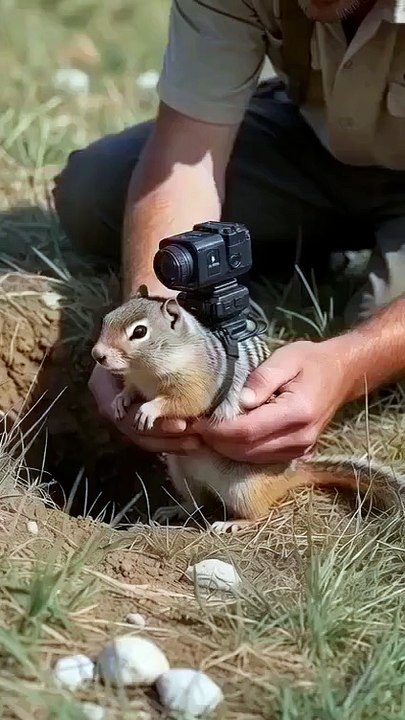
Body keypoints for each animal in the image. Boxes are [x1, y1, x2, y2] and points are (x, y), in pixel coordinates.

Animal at [91, 284, 405, 533]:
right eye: (107, 318)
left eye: (139, 332)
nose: (97, 355)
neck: (147, 370)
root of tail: (289, 475)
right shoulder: (137, 380)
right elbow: (130, 389)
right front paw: (119, 401)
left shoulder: (198, 382)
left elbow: (182, 402)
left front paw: (149, 409)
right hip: (182, 473)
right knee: (196, 503)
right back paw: (175, 509)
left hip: (244, 490)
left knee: (257, 513)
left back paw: (233, 523)